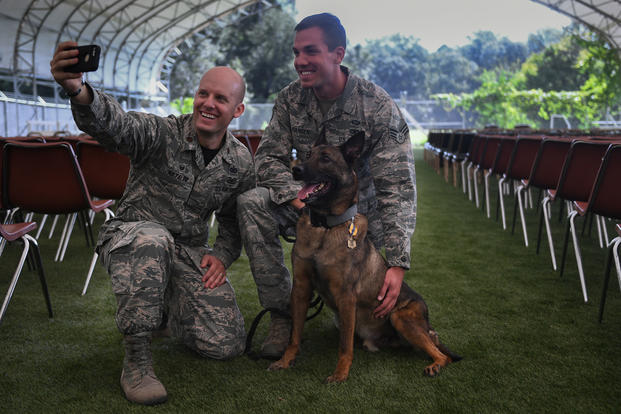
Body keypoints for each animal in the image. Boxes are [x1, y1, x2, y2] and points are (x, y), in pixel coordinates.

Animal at [266, 131, 460, 384]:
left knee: (441, 354)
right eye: (307, 155)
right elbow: (294, 335)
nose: (296, 170)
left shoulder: (346, 297)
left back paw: (435, 365)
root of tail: (429, 327)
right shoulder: (301, 289)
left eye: (326, 158)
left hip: (400, 316)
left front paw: (340, 374)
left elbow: (344, 345)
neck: (325, 228)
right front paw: (285, 361)